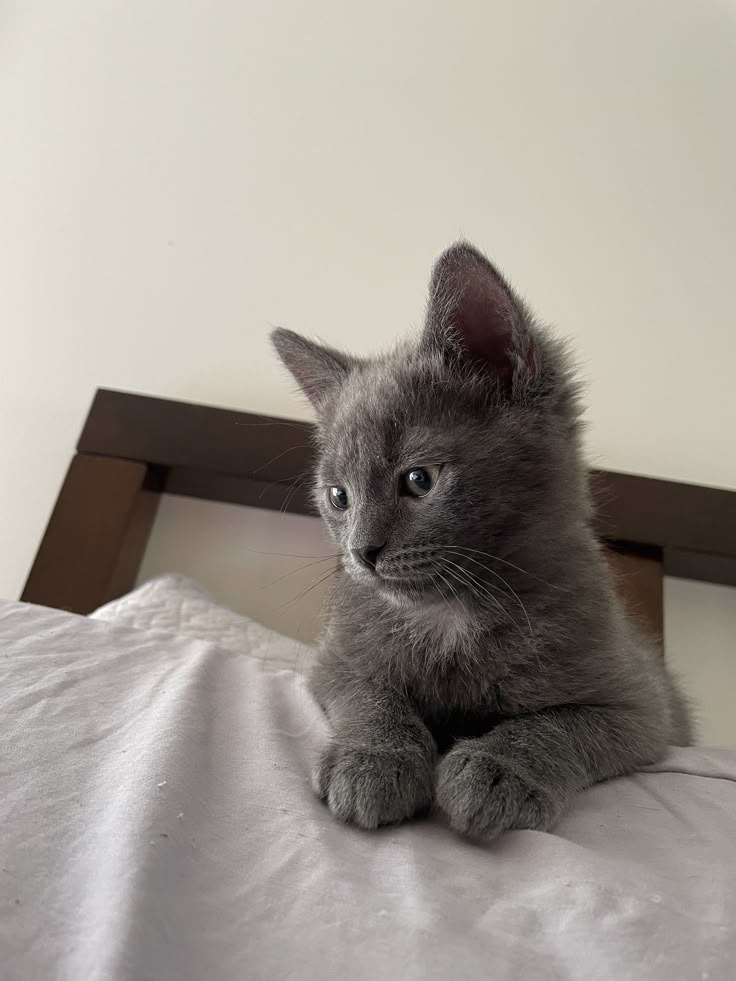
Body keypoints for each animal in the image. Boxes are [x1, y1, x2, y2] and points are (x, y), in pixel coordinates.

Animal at [270, 243, 688, 836]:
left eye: (419, 479)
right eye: (338, 496)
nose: (361, 553)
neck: (451, 614)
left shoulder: (642, 708)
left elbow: (561, 725)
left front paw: (498, 769)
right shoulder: (335, 660)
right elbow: (371, 697)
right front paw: (374, 759)